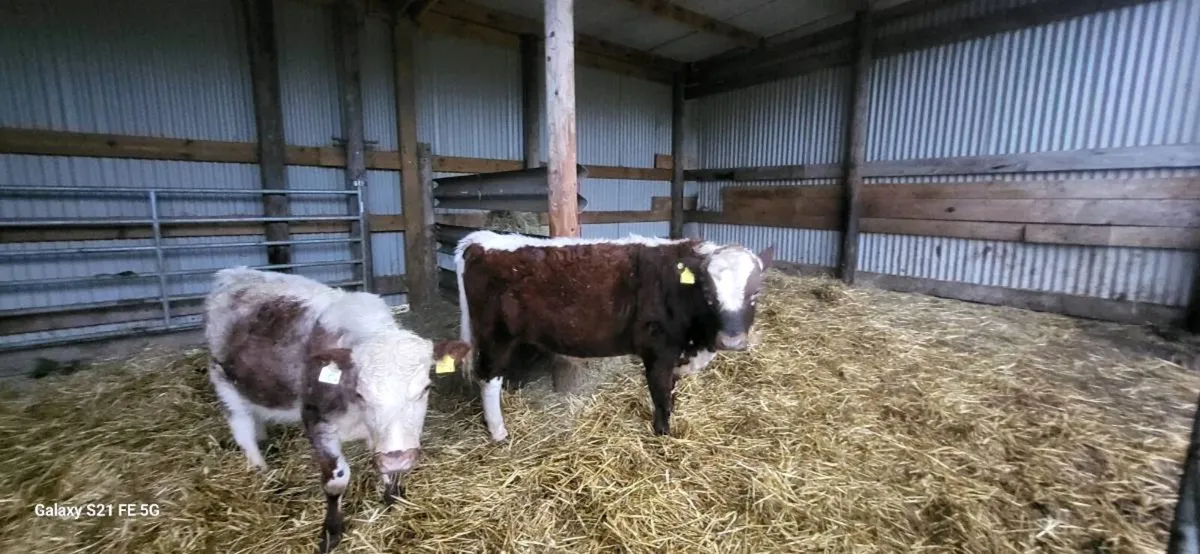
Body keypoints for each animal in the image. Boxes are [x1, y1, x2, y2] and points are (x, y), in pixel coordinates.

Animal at [203, 267, 471, 553]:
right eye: (361, 393)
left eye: (426, 388)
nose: (396, 458)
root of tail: (233, 273)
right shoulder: (316, 421)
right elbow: (336, 480)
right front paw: (331, 533)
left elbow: (387, 470)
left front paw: (393, 498)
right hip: (223, 381)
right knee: (242, 428)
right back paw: (260, 468)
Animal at [453, 231, 774, 441]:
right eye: (708, 293)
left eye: (755, 293)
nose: (731, 340)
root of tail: (480, 241)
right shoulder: (658, 352)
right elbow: (660, 396)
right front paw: (662, 436)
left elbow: (671, 394)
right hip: (496, 336)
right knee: (488, 379)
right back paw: (499, 433)